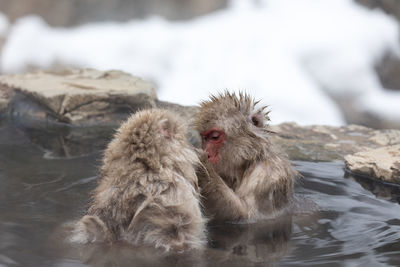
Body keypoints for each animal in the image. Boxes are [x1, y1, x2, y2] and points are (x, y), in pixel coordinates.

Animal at [194, 93, 296, 223]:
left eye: (214, 137)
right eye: (204, 138)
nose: (208, 154)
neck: (247, 162)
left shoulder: (268, 175)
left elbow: (249, 215)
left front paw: (202, 166)